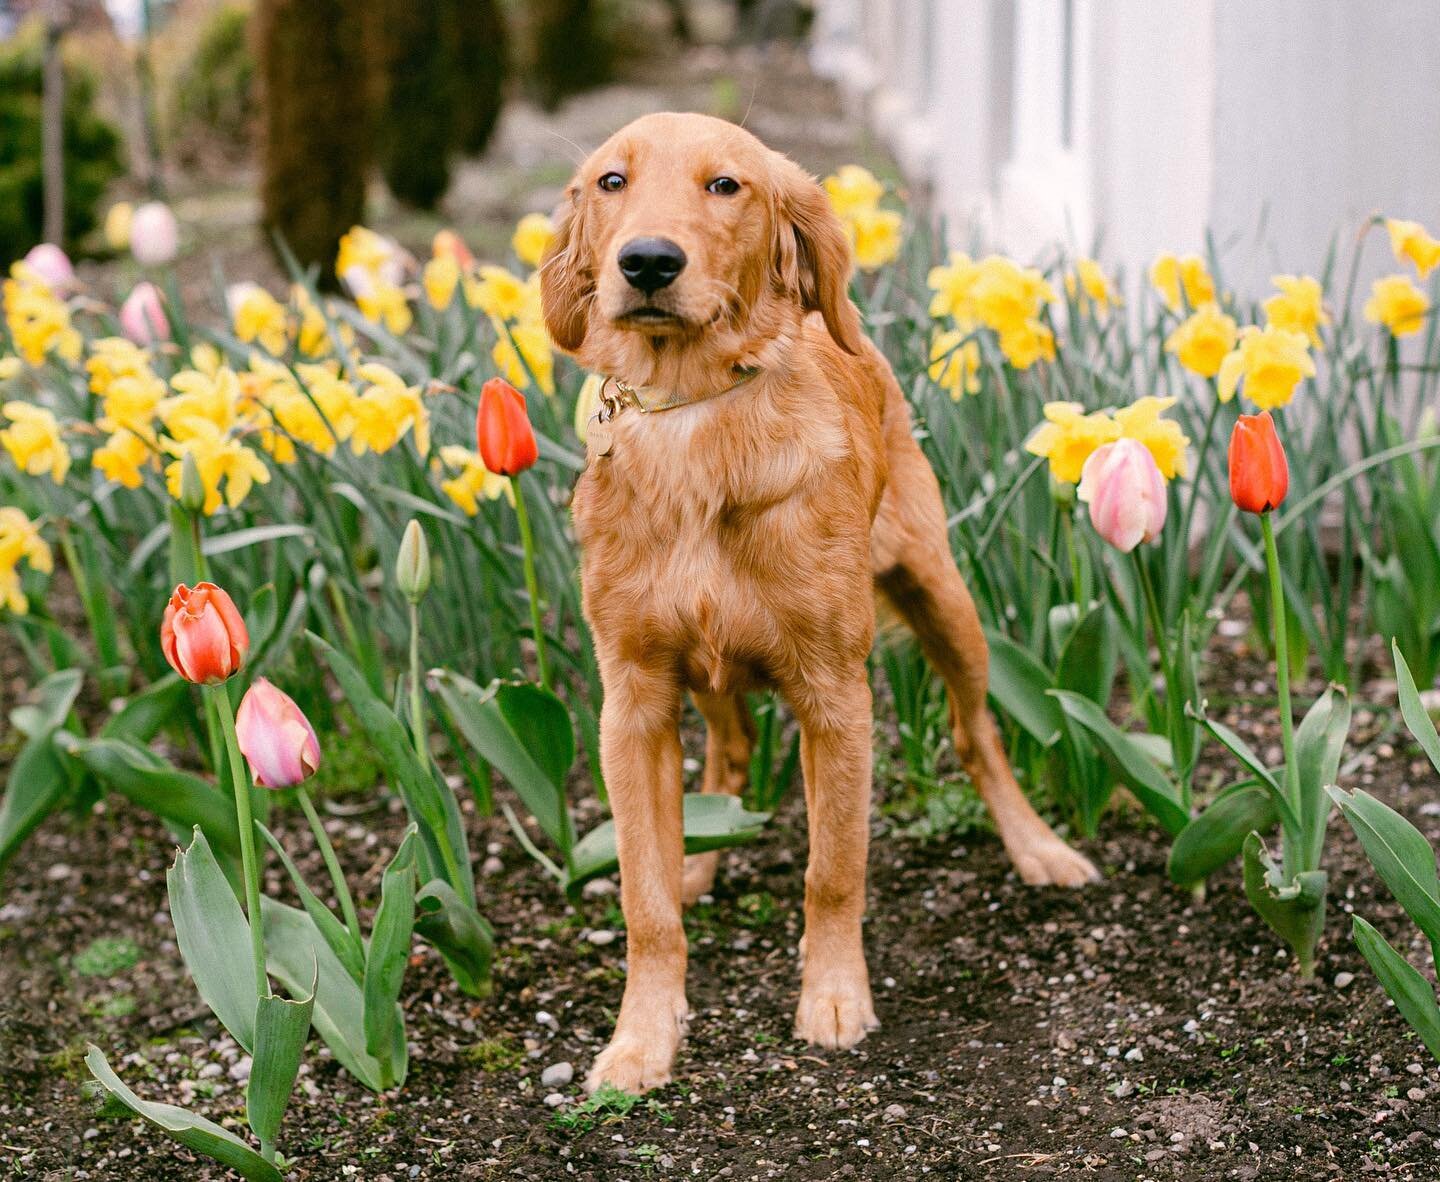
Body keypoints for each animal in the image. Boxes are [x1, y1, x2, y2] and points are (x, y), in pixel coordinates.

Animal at [538, 115, 1088, 1094]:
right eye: (611, 181)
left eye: (726, 185)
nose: (647, 262)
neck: (694, 417)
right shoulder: (631, 701)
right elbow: (644, 901)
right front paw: (641, 1039)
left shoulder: (837, 696)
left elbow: (834, 870)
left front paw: (833, 1000)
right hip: (705, 673)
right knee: (727, 751)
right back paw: (697, 863)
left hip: (946, 602)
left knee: (977, 736)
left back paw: (1040, 849)